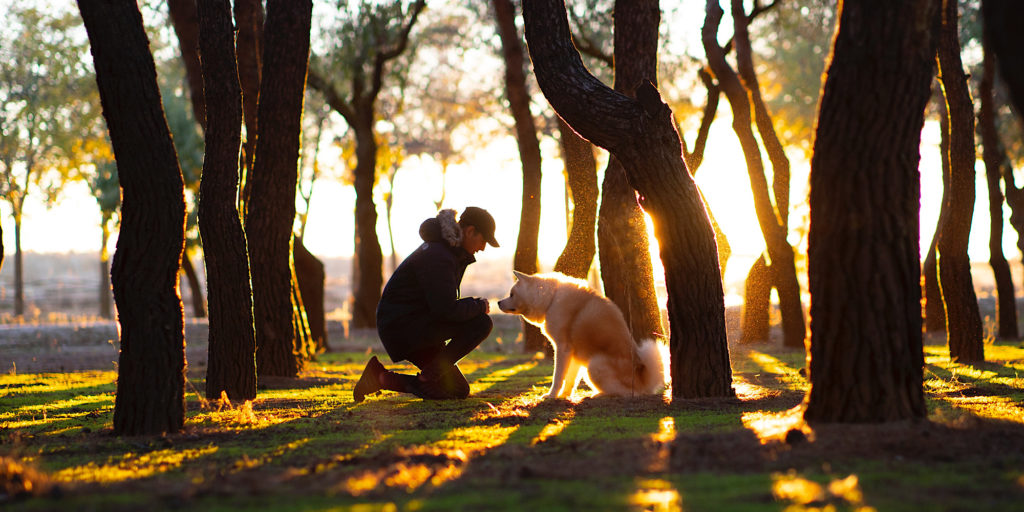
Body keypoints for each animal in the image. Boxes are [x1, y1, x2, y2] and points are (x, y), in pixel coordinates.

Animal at [497, 272, 671, 399]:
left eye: (511, 294)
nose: (498, 302)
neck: (552, 298)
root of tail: (643, 380)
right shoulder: (574, 354)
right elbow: (570, 379)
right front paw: (565, 396)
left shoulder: (562, 349)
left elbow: (558, 377)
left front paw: (552, 395)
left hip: (593, 365)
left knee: (627, 393)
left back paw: (600, 395)